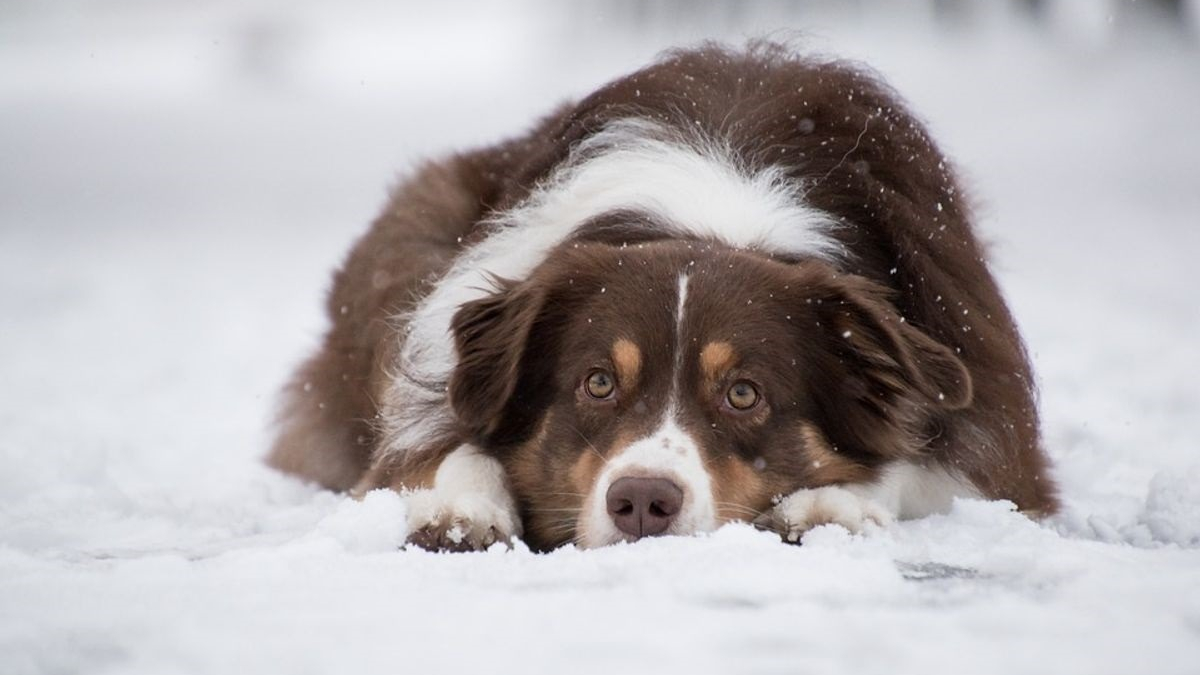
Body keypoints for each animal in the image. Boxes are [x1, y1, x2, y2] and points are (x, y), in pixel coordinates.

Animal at [267, 42, 1056, 550]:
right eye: (596, 382)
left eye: (744, 394)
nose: (643, 501)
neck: (714, 216)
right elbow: (445, 445)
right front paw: (462, 506)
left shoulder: (994, 424)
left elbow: (923, 462)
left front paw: (833, 501)